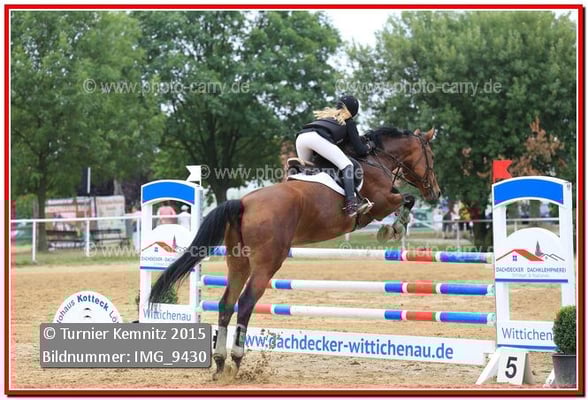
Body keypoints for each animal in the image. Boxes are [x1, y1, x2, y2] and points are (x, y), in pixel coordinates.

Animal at [149, 126, 441, 379]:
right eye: (431, 156)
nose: (436, 193)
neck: (375, 160)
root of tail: (243, 202)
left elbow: (406, 199)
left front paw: (394, 227)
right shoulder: (380, 203)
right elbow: (407, 199)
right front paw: (393, 228)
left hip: (238, 261)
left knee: (226, 304)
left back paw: (220, 364)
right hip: (267, 263)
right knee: (246, 302)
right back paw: (237, 359)